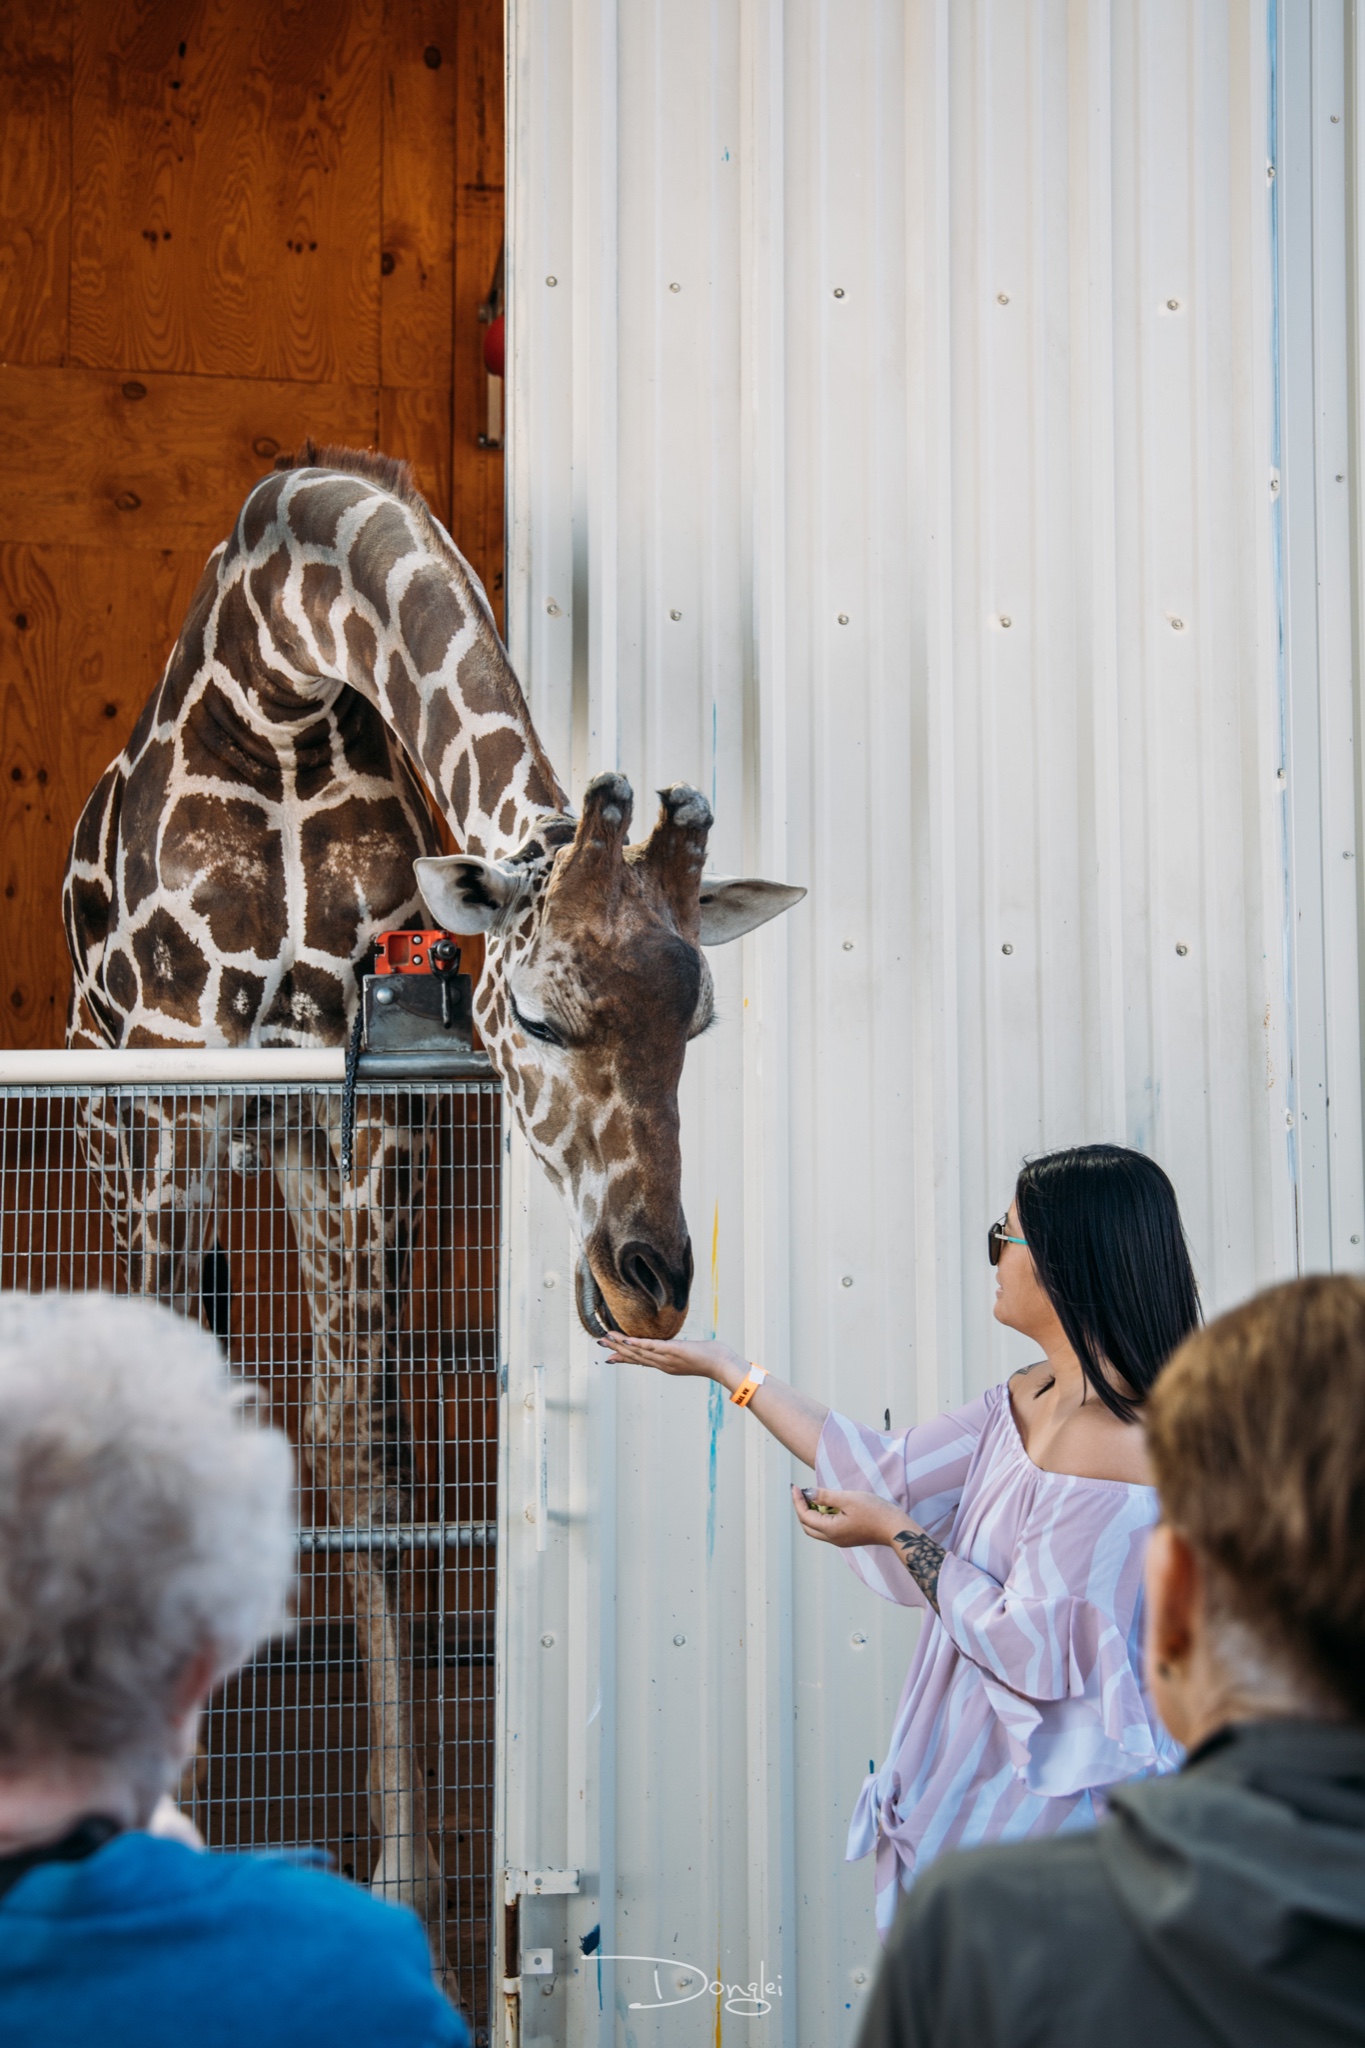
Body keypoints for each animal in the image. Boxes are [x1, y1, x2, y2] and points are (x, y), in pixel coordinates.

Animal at [63, 452, 806, 1966]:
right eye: (540, 1013)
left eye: (699, 1022)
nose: (647, 1280)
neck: (280, 689)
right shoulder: (182, 1081)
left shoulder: (366, 1105)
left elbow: (371, 1462)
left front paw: (402, 1874)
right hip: (112, 1124)